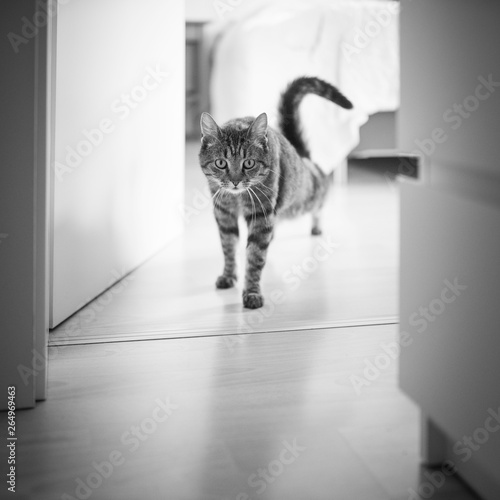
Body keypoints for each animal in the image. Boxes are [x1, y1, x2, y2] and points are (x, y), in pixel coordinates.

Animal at [198, 76, 352, 308]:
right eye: (221, 163)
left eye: (249, 163)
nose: (235, 181)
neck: (238, 198)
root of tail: (300, 153)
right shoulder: (224, 213)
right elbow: (228, 247)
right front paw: (228, 275)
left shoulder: (261, 214)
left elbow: (254, 257)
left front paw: (252, 292)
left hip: (303, 199)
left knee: (319, 199)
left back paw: (316, 224)